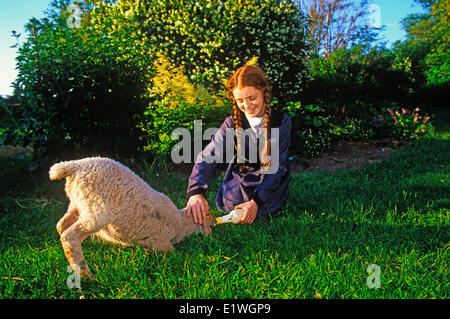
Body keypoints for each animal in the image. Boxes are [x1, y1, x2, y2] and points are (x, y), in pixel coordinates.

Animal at [50, 158, 215, 280]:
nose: (214, 222)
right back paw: (86, 275)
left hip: (77, 204)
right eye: (207, 213)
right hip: (97, 211)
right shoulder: (160, 240)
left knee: (60, 225)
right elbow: (172, 251)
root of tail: (75, 166)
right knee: (69, 236)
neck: (180, 224)